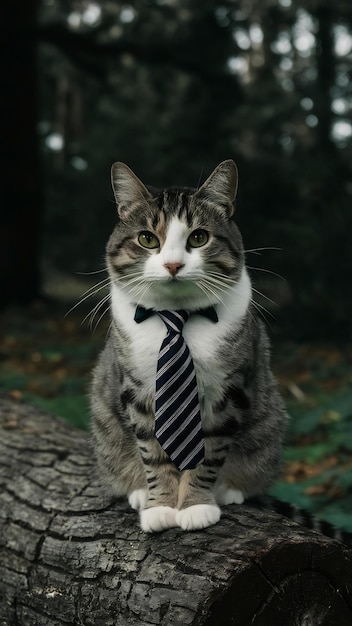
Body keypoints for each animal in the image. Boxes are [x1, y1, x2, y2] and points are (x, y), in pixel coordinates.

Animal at [91, 160, 288, 532]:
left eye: (198, 237)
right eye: (147, 238)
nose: (173, 264)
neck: (177, 316)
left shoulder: (229, 391)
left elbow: (208, 453)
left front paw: (195, 505)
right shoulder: (138, 392)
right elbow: (153, 453)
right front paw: (160, 506)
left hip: (269, 424)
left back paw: (229, 491)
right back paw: (138, 492)